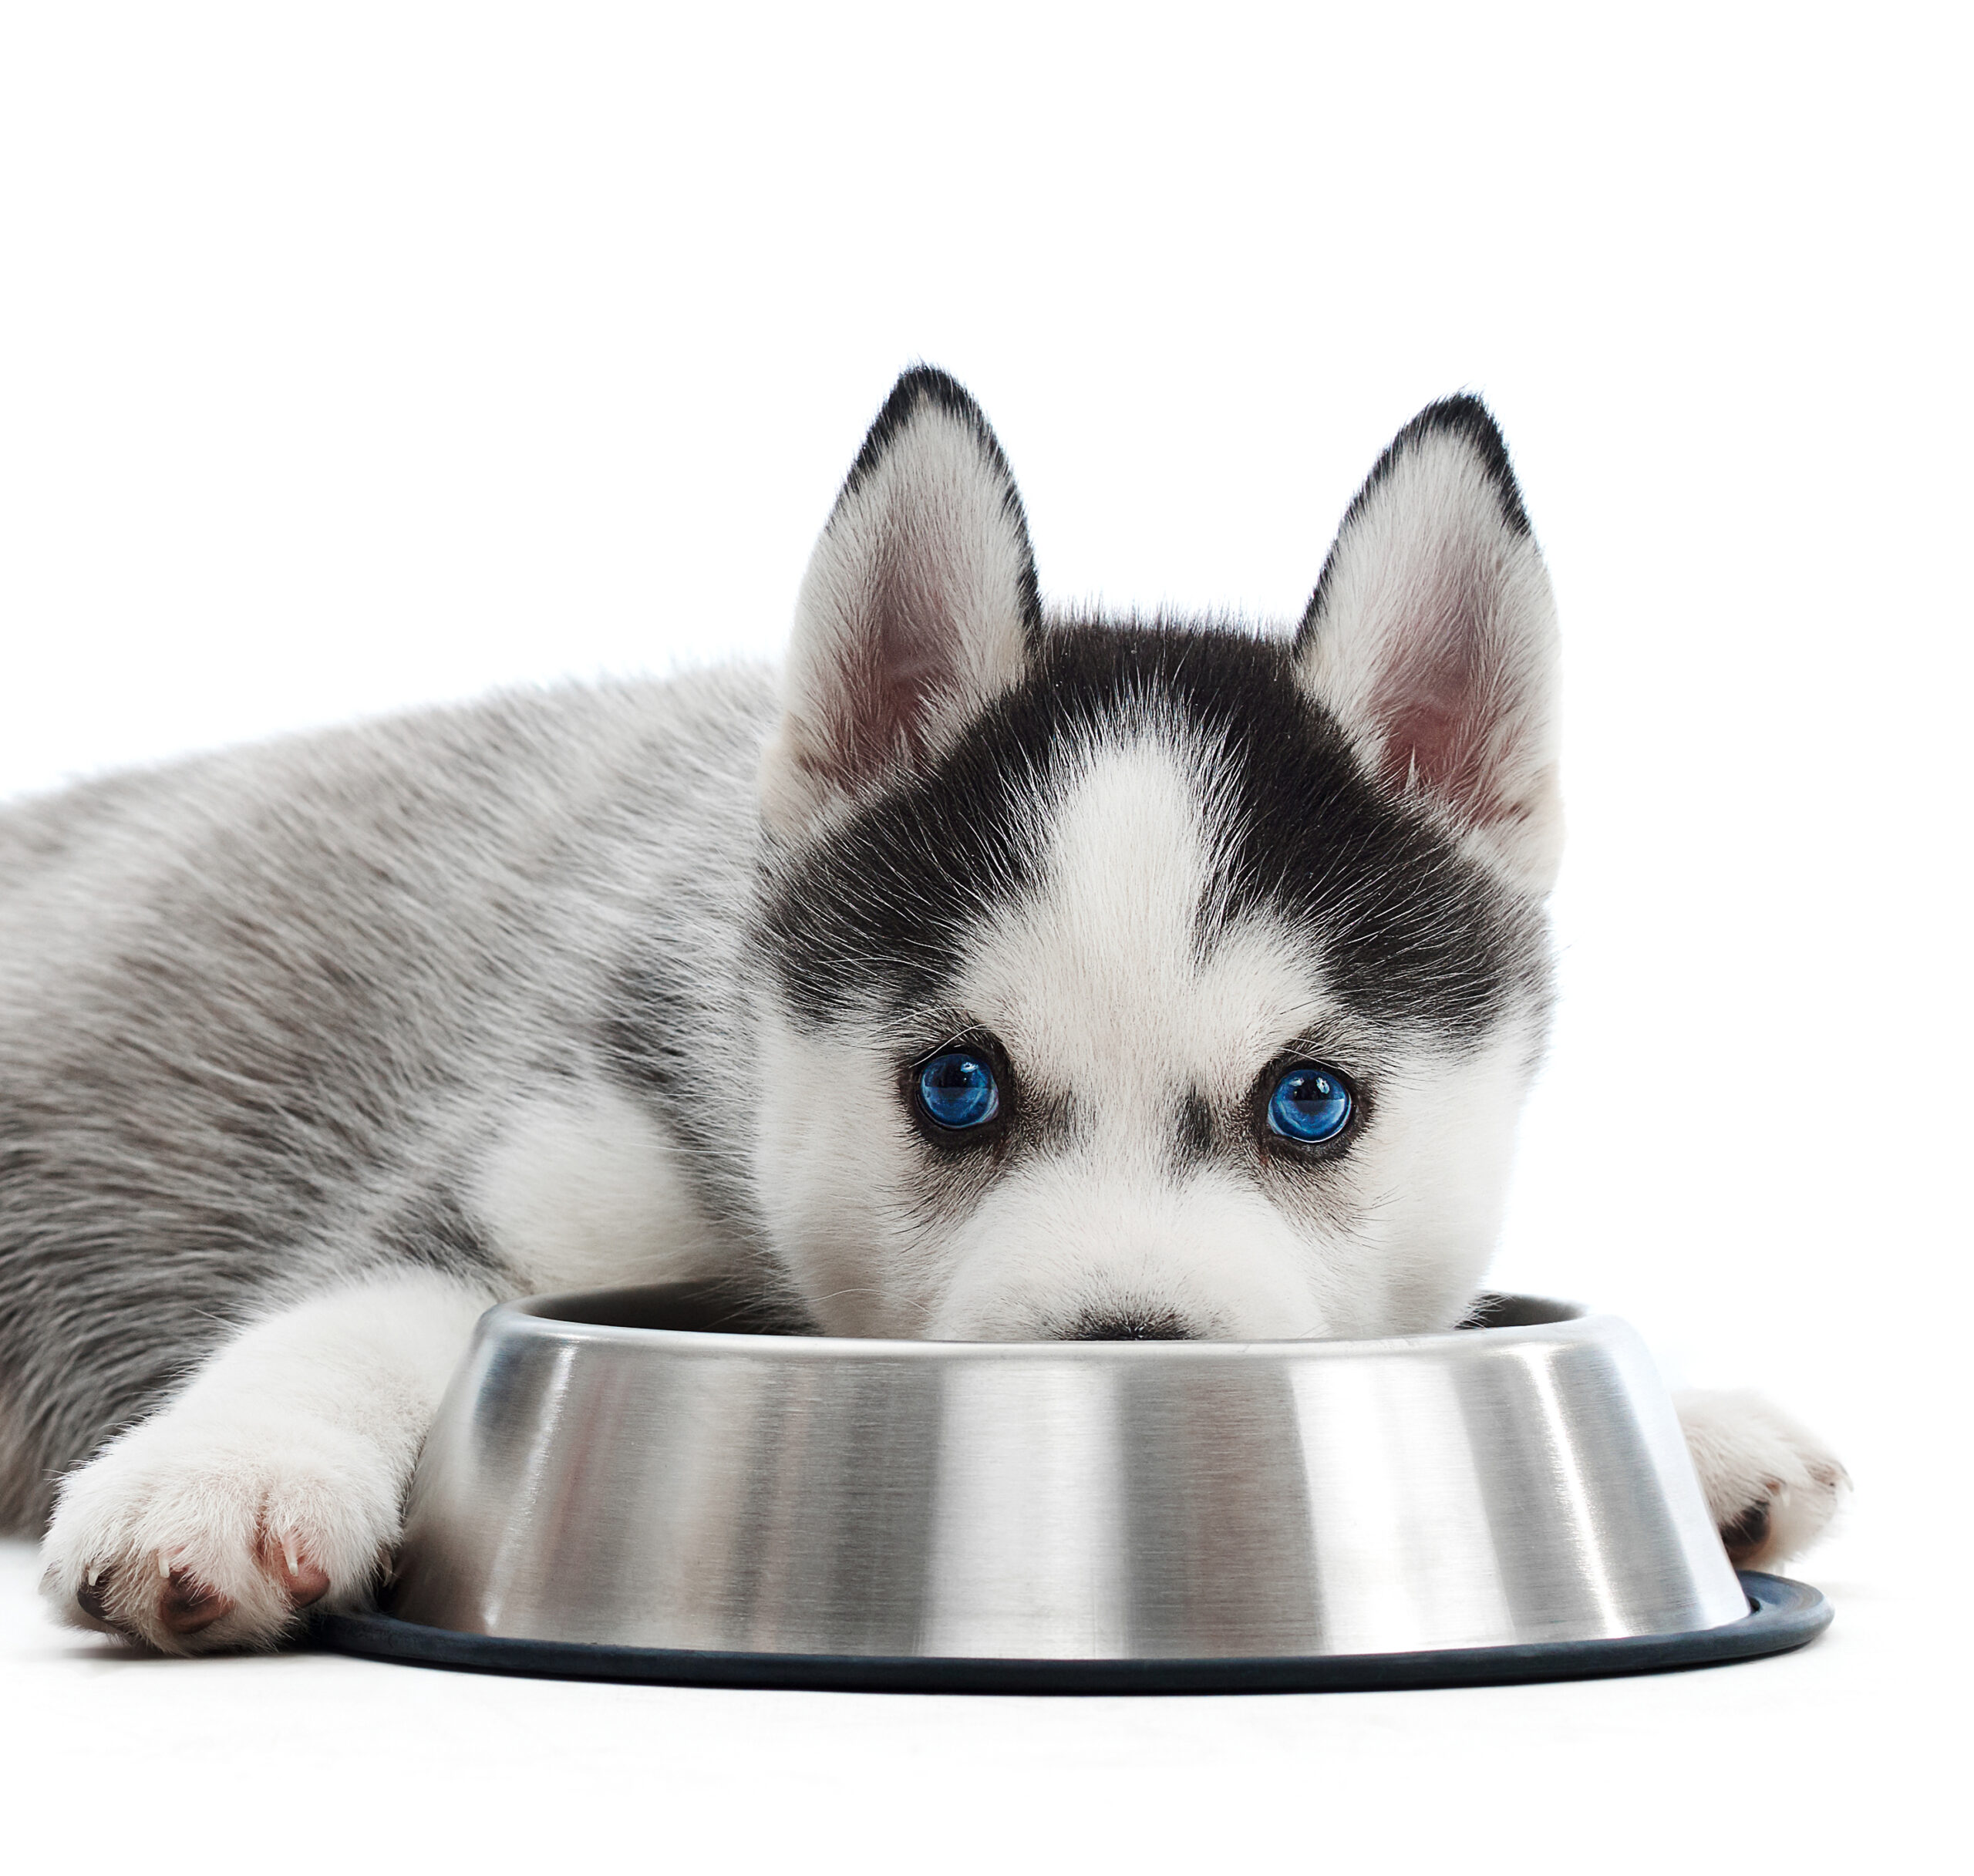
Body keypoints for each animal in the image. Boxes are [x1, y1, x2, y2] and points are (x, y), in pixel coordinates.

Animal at [4, 363, 1848, 1642]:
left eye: (1311, 1101)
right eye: (956, 1085)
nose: (1126, 1360)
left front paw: (1691, 1428)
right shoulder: (549, 1135)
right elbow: (363, 1310)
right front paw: (222, 1474)